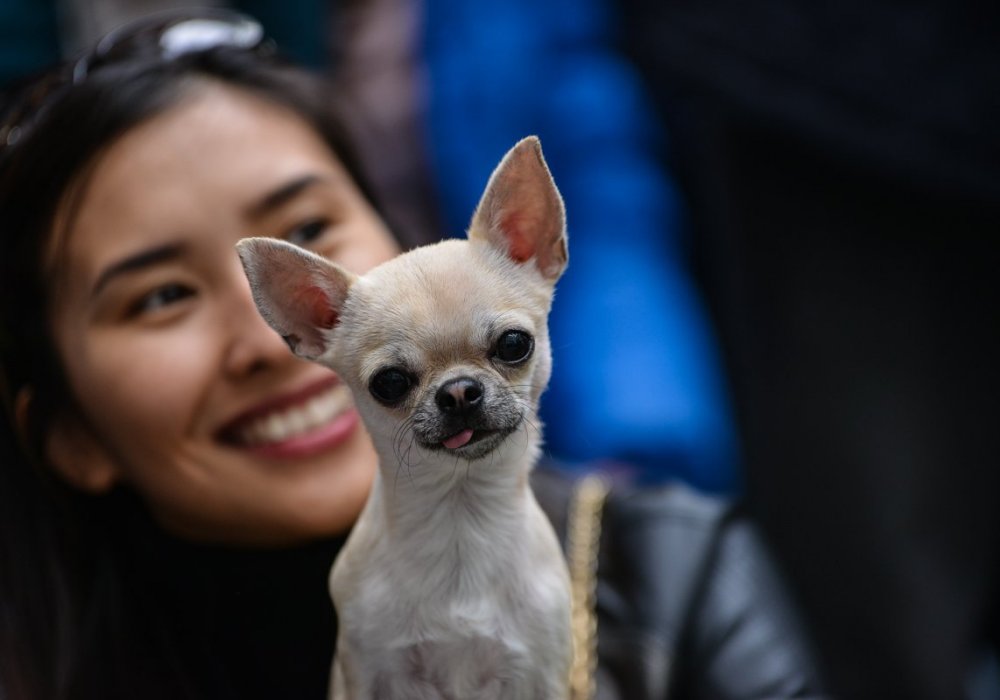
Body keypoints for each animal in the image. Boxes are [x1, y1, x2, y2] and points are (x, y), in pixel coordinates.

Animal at [238, 138, 572, 700]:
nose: (458, 392)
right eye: (390, 383)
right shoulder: (368, 670)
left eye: (513, 344)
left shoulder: (543, 670)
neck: (460, 515)